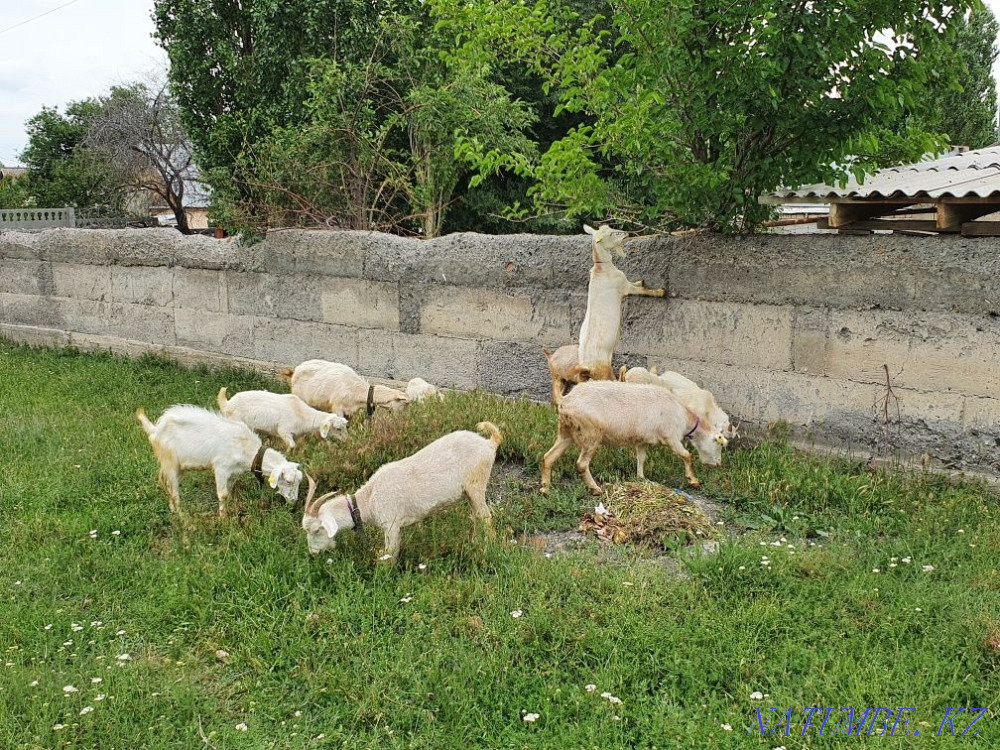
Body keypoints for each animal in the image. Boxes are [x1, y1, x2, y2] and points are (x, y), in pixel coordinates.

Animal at [137, 405, 303, 517]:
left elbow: (228, 492)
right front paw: (223, 518)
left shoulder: (234, 473)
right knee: (174, 491)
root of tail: (156, 430)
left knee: (169, 486)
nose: (294, 502)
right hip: (169, 463)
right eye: (288, 481)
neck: (246, 448)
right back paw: (181, 517)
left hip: (179, 467)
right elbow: (222, 494)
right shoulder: (221, 468)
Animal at [217, 387, 348, 450]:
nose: (347, 440)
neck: (302, 414)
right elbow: (292, 445)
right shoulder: (284, 430)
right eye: (338, 429)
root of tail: (227, 404)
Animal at [301, 422, 503, 559]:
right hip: (469, 492)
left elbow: (390, 555)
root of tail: (489, 443)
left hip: (476, 484)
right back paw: (475, 542)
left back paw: (488, 548)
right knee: (476, 516)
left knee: (486, 517)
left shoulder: (391, 525)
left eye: (317, 530)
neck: (369, 499)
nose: (312, 552)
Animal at [540, 381, 728, 496]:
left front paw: (641, 478)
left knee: (548, 457)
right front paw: (693, 480)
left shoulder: (642, 439)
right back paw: (595, 489)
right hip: (590, 433)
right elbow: (687, 456)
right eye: (719, 445)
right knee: (581, 464)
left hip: (566, 432)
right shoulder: (671, 436)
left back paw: (545, 488)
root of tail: (566, 399)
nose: (719, 464)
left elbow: (641, 458)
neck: (685, 417)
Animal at [575, 225, 664, 381]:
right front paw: (660, 292)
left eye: (609, 228)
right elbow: (641, 290)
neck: (602, 270)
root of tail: (587, 368)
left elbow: (637, 283)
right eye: (611, 234)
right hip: (604, 372)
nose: (626, 233)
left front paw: (641, 281)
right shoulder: (624, 287)